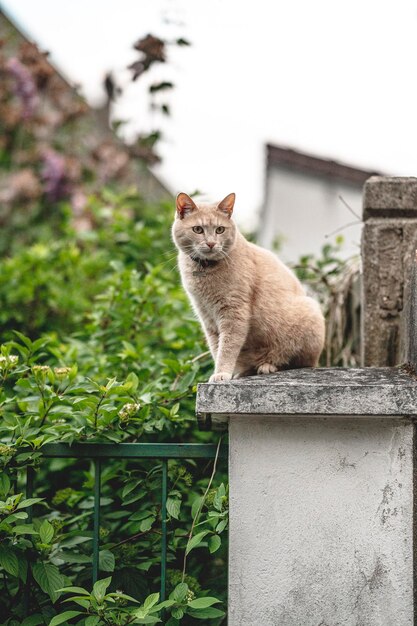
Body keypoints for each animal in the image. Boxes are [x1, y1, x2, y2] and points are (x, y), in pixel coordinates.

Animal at [171, 191, 324, 380]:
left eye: (220, 230)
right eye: (198, 229)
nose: (211, 243)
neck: (205, 269)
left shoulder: (234, 313)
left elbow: (227, 348)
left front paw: (221, 373)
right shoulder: (207, 318)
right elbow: (216, 348)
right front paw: (222, 372)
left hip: (309, 313)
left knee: (295, 362)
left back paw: (268, 365)